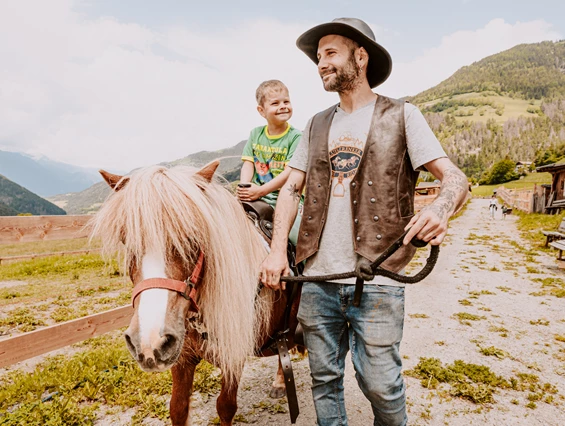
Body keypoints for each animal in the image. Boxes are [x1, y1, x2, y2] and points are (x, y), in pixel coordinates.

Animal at [89, 162, 300, 426]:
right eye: (126, 239)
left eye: (192, 238)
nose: (148, 341)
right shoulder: (181, 359)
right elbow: (177, 408)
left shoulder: (232, 358)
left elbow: (225, 406)